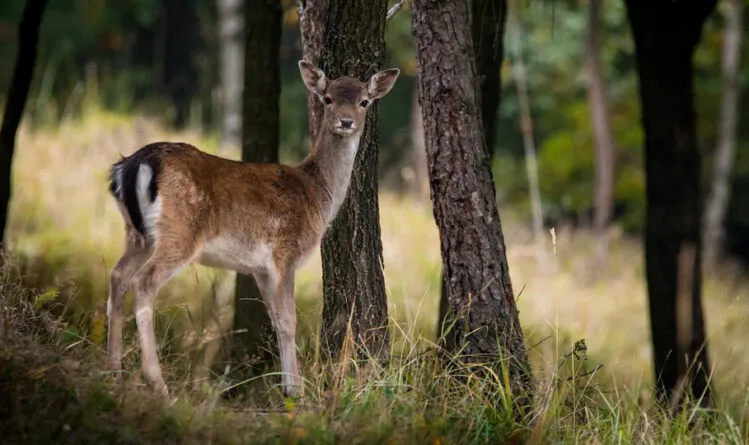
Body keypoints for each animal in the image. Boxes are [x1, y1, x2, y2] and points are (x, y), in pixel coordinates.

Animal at [106, 59, 398, 396]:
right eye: (328, 99)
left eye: (364, 101)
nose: (346, 121)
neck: (318, 195)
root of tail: (132, 165)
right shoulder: (286, 252)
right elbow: (289, 319)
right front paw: (296, 391)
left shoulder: (259, 268)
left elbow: (274, 319)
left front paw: (287, 386)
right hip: (179, 233)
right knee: (143, 282)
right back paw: (157, 382)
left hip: (137, 234)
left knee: (118, 276)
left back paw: (113, 372)